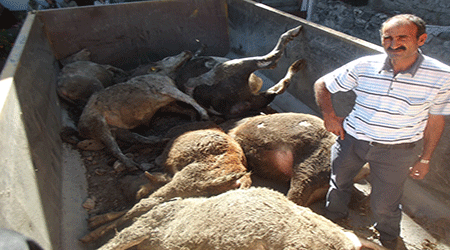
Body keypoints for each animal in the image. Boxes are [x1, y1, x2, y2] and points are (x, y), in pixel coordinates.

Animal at [80, 127, 250, 242]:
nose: (122, 180)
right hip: (187, 187)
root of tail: (239, 177)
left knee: (145, 204)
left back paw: (92, 231)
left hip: (184, 180)